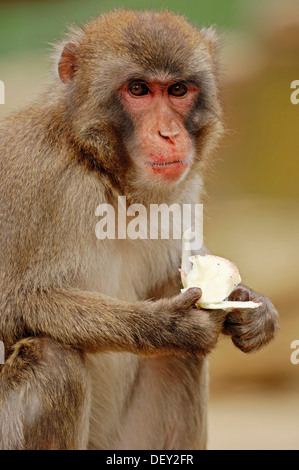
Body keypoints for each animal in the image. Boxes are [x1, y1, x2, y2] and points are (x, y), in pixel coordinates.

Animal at [0, 9, 278, 450]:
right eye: (138, 89)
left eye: (178, 90)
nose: (170, 134)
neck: (108, 177)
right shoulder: (39, 178)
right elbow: (12, 306)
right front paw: (166, 326)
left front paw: (254, 307)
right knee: (50, 359)